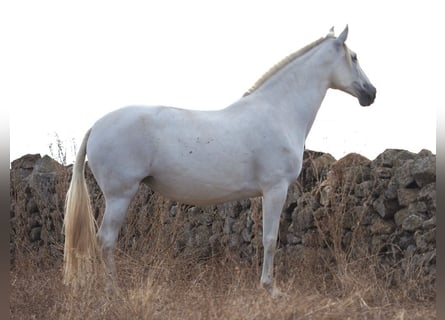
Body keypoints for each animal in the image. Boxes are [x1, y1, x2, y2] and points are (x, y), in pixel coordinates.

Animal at [62, 26, 374, 294]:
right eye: (355, 57)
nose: (371, 93)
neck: (278, 111)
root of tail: (96, 126)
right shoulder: (276, 189)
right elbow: (270, 239)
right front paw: (271, 289)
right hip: (120, 196)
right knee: (105, 240)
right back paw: (113, 291)